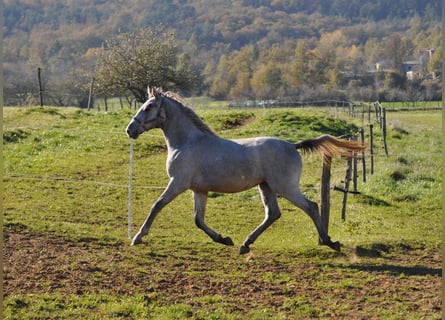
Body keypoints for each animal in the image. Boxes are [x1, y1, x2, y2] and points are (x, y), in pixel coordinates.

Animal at [125, 87, 364, 255]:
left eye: (148, 107)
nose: (130, 130)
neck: (187, 142)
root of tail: (293, 145)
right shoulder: (199, 190)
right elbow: (198, 219)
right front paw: (224, 239)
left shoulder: (178, 183)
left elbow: (157, 206)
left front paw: (138, 237)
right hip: (266, 187)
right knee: (273, 214)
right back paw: (245, 244)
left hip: (285, 187)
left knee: (311, 207)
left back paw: (330, 242)